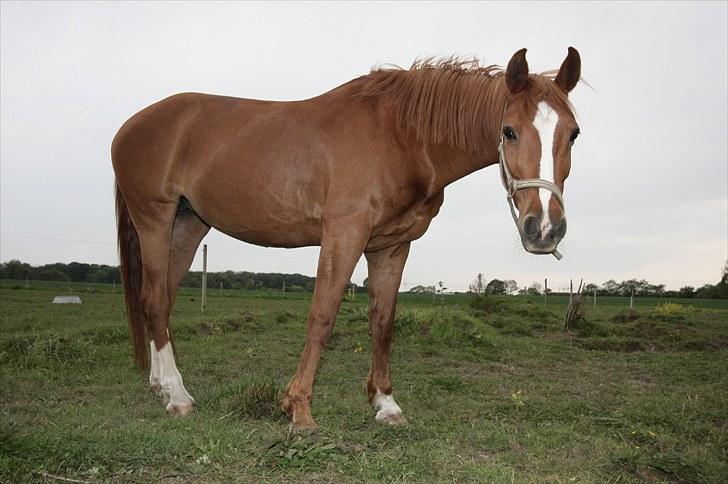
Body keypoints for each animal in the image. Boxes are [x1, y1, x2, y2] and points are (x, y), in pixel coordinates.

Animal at [112, 48, 580, 428]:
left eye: (573, 133)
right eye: (509, 131)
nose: (544, 229)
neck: (401, 137)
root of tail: (129, 127)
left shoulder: (391, 245)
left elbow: (383, 320)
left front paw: (385, 403)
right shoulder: (344, 234)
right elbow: (322, 316)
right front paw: (299, 407)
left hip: (188, 225)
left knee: (163, 298)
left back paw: (161, 385)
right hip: (154, 219)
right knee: (154, 300)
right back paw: (178, 397)